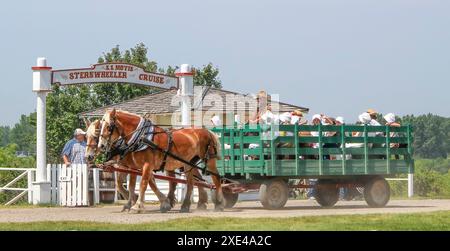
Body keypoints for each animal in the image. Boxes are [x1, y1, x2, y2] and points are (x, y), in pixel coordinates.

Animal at [87, 109, 223, 213]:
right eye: (87, 136)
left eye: (109, 127)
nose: (101, 146)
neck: (141, 137)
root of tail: (207, 131)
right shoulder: (132, 166)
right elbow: (130, 185)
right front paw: (133, 202)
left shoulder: (146, 165)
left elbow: (143, 183)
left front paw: (137, 205)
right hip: (188, 163)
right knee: (191, 182)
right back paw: (186, 205)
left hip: (208, 160)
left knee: (216, 178)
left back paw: (219, 203)